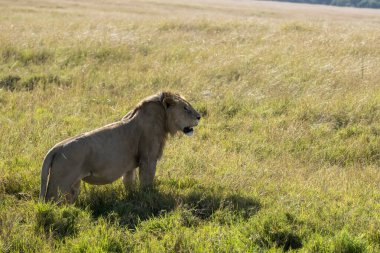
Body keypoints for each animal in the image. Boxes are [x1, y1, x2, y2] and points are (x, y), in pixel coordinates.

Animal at [38, 92, 202, 203]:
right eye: (186, 108)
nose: (199, 116)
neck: (163, 118)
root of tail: (56, 148)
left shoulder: (130, 165)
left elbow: (129, 181)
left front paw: (132, 196)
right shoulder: (148, 158)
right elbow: (147, 180)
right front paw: (149, 196)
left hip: (72, 186)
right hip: (59, 185)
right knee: (51, 201)